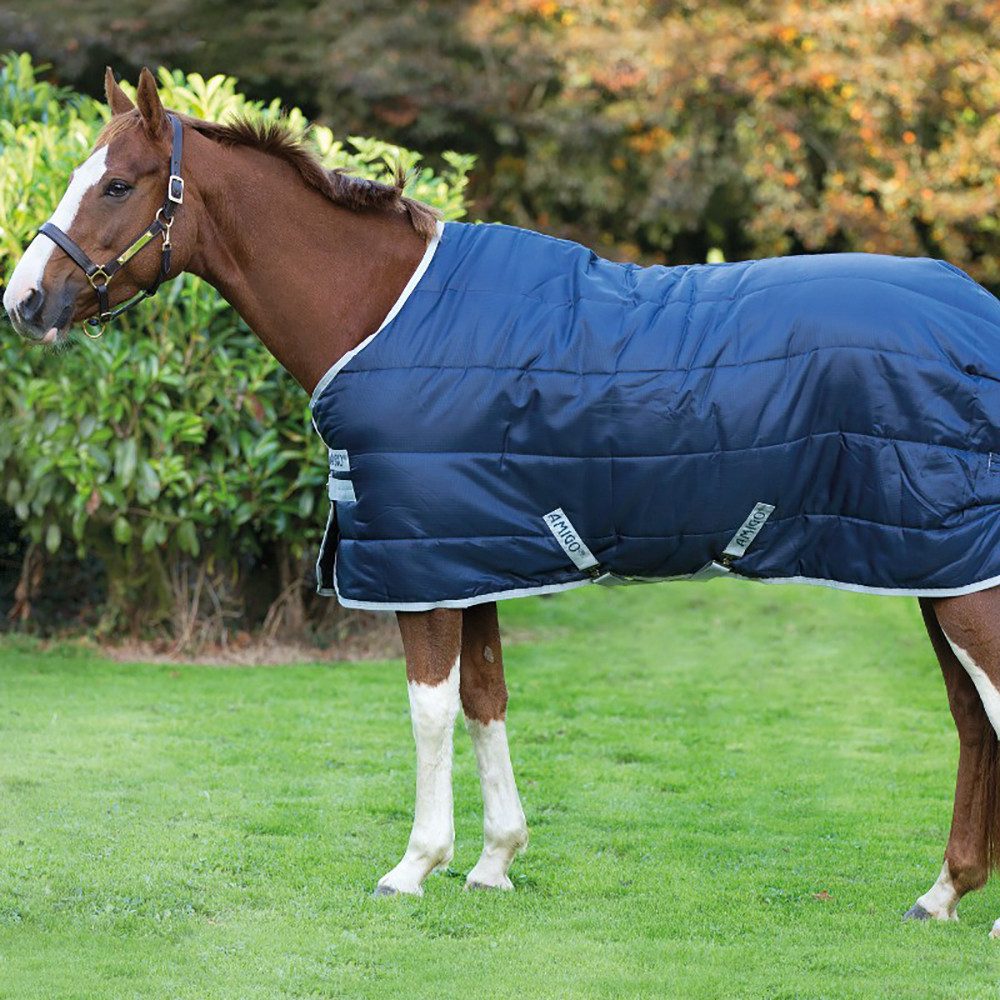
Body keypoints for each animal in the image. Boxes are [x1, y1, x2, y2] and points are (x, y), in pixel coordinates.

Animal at [5, 68, 1000, 933]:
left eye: (118, 185)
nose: (24, 302)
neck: (382, 312)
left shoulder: (423, 571)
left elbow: (431, 708)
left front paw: (414, 867)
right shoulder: (469, 556)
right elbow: (486, 698)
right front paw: (494, 861)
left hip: (965, 584)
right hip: (933, 569)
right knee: (970, 721)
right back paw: (943, 893)